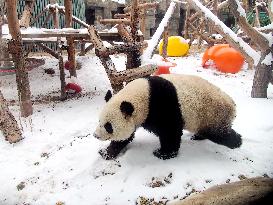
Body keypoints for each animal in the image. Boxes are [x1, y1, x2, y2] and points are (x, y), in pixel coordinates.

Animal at [93, 73, 240, 160]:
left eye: (108, 126)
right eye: (99, 121)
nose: (96, 135)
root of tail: (232, 104)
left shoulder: (163, 105)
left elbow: (170, 131)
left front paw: (163, 153)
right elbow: (125, 137)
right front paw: (107, 152)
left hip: (213, 113)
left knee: (219, 133)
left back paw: (236, 142)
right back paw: (198, 136)